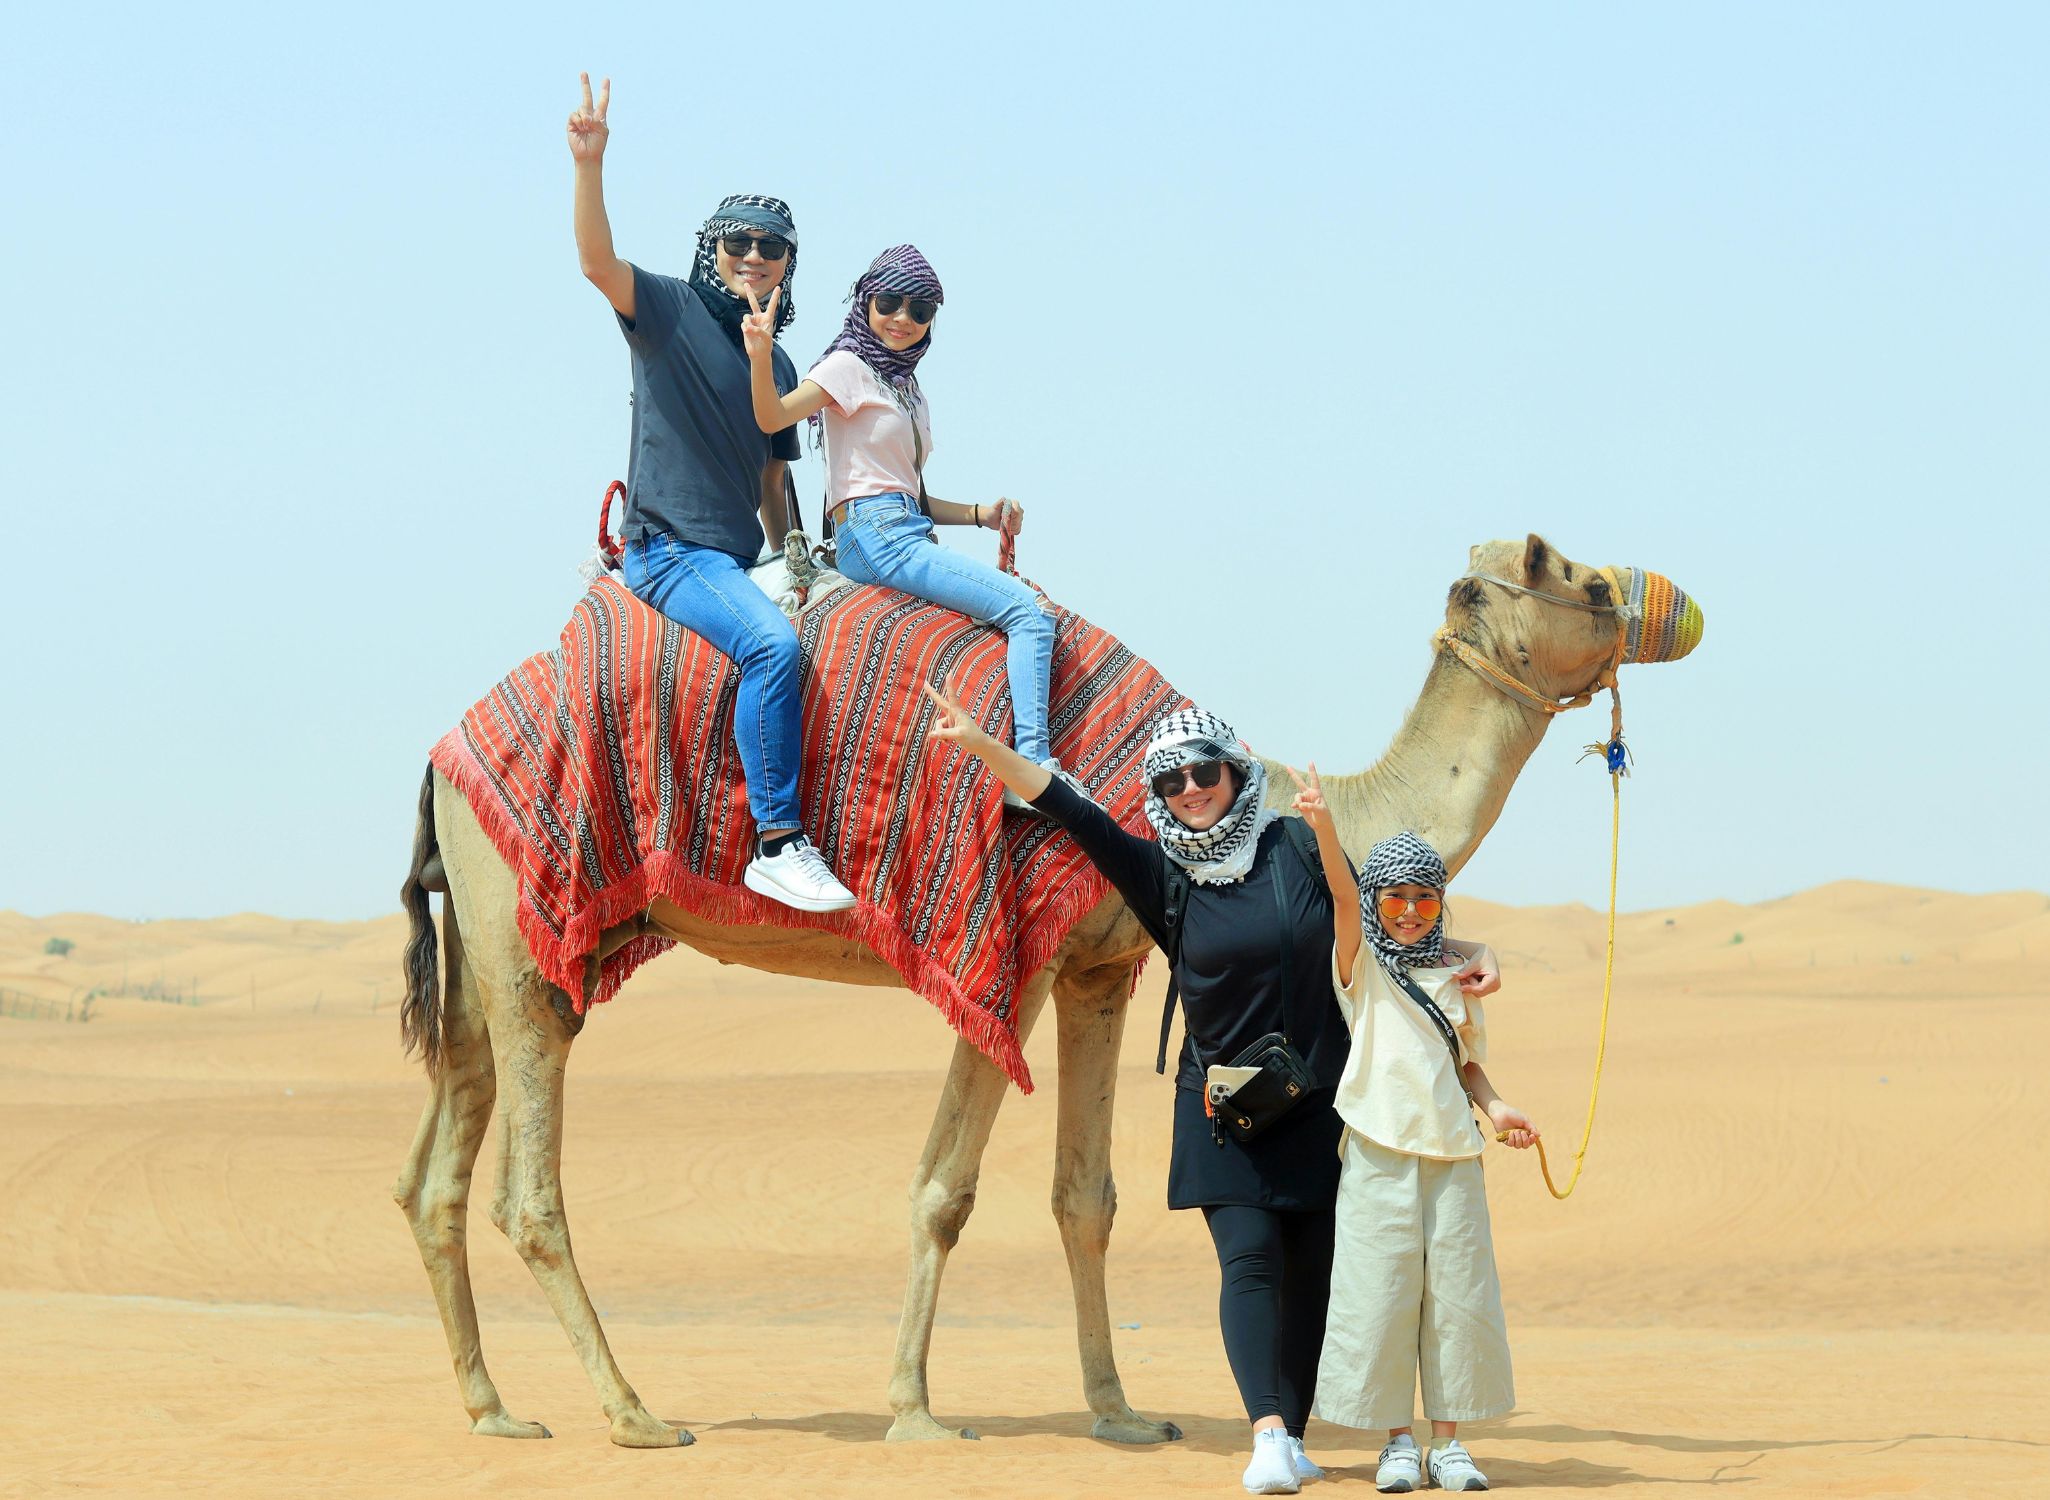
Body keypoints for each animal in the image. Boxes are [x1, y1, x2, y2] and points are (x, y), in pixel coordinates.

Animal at [391, 532, 1689, 1450]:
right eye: (1571, 572)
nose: (1663, 602)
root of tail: (440, 756)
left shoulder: (1100, 966)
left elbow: (1086, 1196)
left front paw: (1119, 1411)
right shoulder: (1004, 959)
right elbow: (944, 1189)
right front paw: (914, 1411)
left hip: (483, 940)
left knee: (433, 1174)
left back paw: (493, 1408)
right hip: (529, 930)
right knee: (527, 1187)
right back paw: (634, 1413)